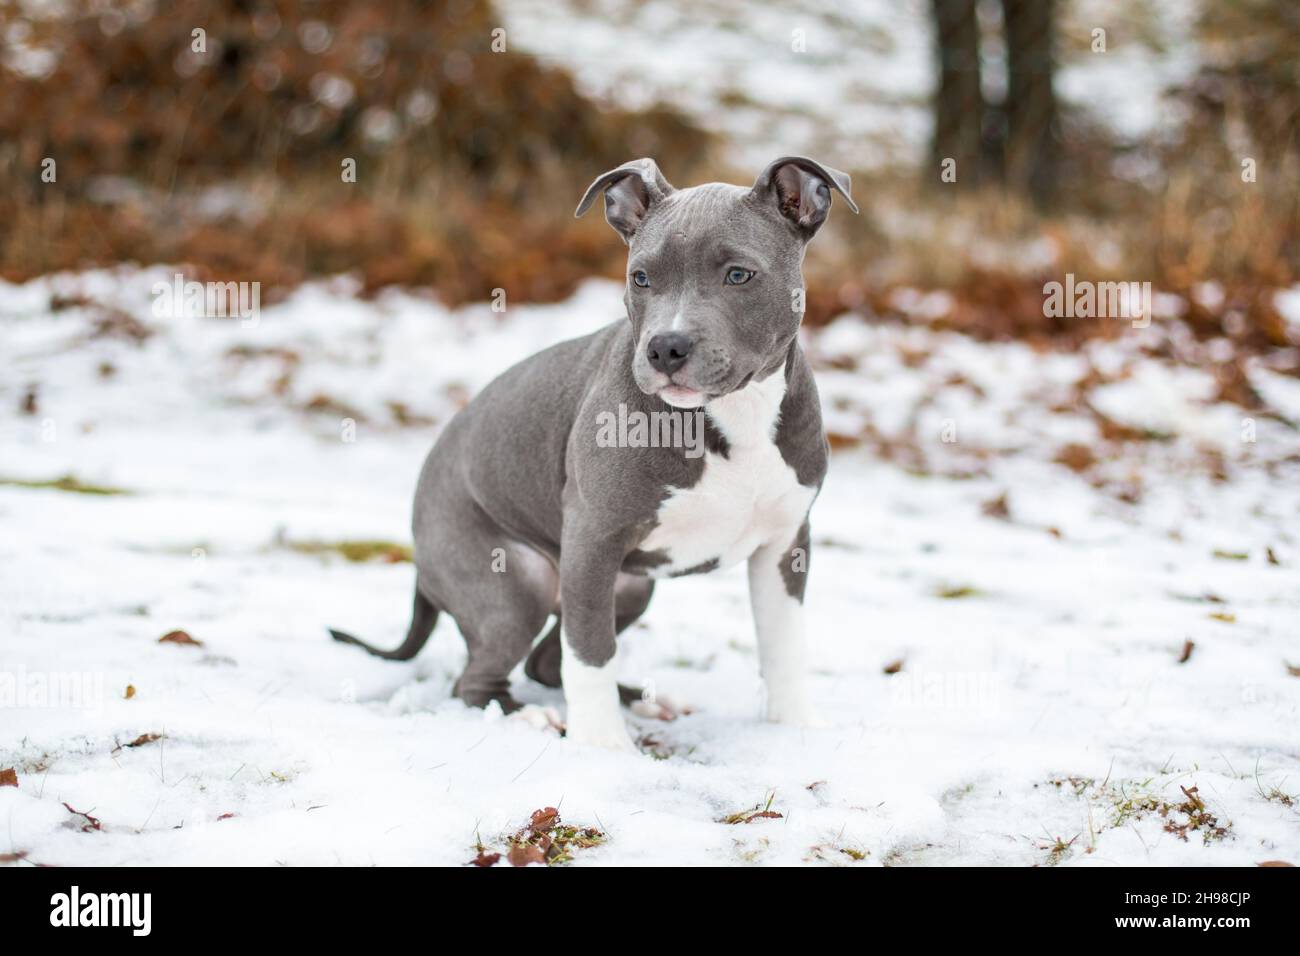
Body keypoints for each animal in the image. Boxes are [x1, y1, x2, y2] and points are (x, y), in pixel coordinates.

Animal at [330, 157, 852, 749]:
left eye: (739, 275)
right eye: (640, 277)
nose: (665, 347)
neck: (733, 415)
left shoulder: (786, 544)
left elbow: (783, 643)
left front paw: (795, 729)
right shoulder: (592, 539)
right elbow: (591, 652)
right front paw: (602, 747)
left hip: (629, 587)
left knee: (546, 661)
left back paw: (641, 700)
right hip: (516, 583)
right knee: (483, 675)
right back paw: (527, 716)